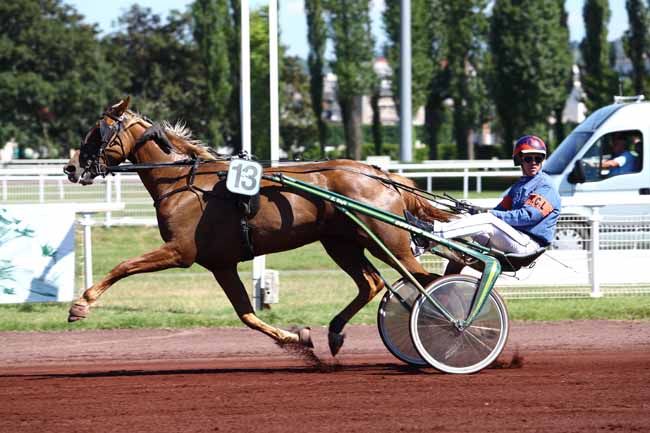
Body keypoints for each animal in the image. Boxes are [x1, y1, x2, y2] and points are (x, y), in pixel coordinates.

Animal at [64, 97, 455, 356]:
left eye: (97, 132)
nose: (71, 167)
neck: (184, 183)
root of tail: (382, 175)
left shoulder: (179, 251)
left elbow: (123, 266)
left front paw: (81, 304)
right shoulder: (220, 264)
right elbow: (247, 315)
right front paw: (298, 340)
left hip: (388, 239)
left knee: (427, 281)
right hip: (341, 242)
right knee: (372, 283)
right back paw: (335, 333)